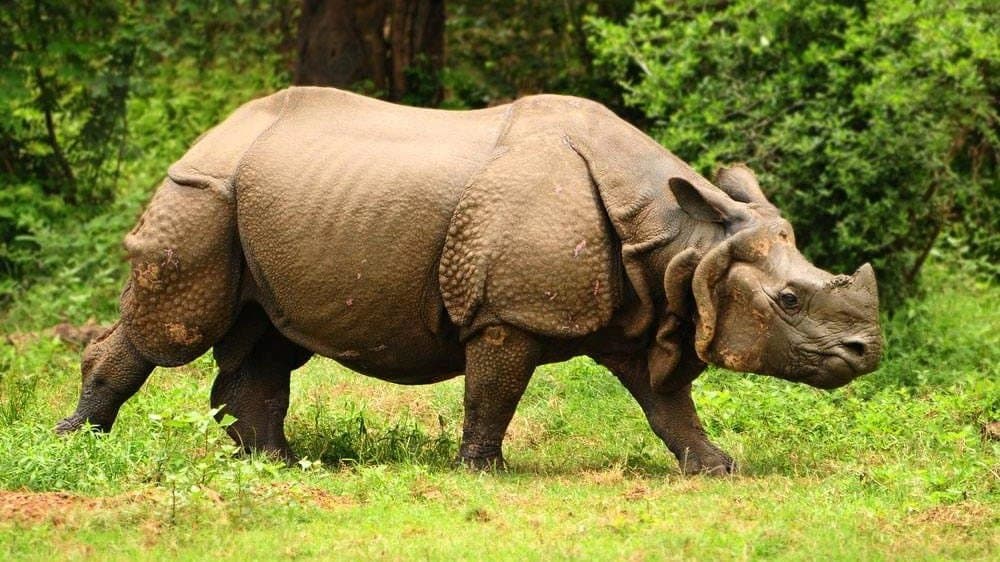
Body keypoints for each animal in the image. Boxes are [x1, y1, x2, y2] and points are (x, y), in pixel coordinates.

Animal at [57, 87, 882, 474]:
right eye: (790, 299)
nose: (868, 352)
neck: (682, 241)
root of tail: (212, 133)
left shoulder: (644, 311)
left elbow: (668, 406)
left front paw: (719, 468)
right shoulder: (507, 312)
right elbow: (494, 392)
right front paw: (484, 471)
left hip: (260, 201)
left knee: (267, 338)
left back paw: (277, 464)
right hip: (202, 191)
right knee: (172, 329)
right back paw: (79, 445)